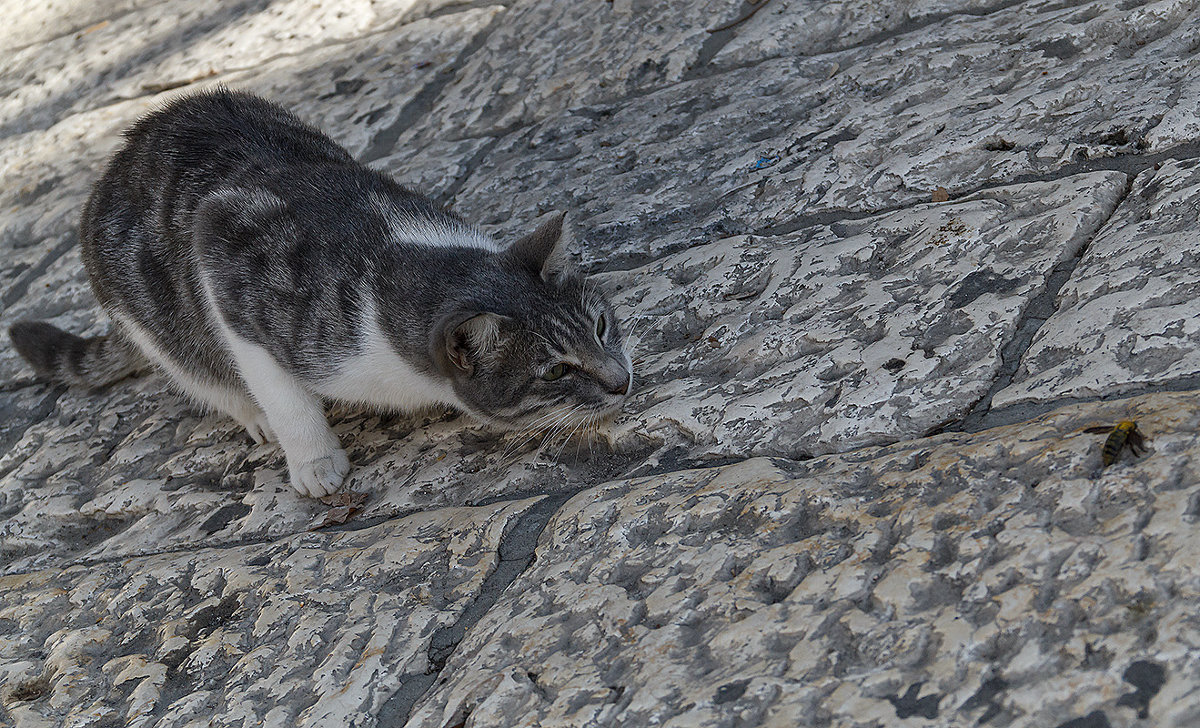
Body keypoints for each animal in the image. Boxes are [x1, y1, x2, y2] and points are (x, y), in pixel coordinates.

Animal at [9, 85, 633, 496]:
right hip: (147, 308)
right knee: (193, 366)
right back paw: (251, 413)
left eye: (601, 326)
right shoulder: (230, 272)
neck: (394, 253)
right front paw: (313, 461)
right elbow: (284, 394)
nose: (622, 382)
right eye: (555, 371)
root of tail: (118, 158)